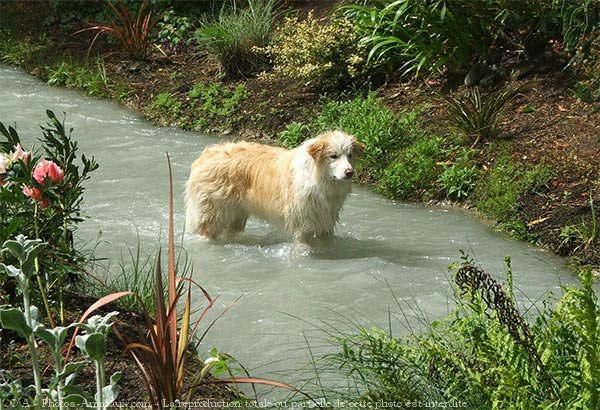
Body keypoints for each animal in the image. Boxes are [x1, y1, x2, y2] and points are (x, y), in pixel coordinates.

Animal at [186, 131, 366, 243]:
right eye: (333, 156)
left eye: (350, 155)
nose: (349, 173)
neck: (319, 180)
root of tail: (206, 155)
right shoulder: (302, 227)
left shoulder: (325, 224)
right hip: (214, 215)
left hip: (236, 216)